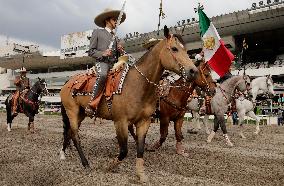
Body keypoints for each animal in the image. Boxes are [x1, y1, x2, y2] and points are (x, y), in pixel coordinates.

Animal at [59, 26, 199, 183]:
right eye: (174, 49)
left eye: (186, 49)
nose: (193, 71)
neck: (138, 85)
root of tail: (68, 83)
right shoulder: (121, 122)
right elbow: (124, 150)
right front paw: (110, 166)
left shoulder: (144, 122)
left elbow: (140, 148)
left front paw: (141, 174)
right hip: (72, 112)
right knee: (75, 136)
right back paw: (85, 163)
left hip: (81, 114)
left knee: (69, 133)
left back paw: (63, 153)